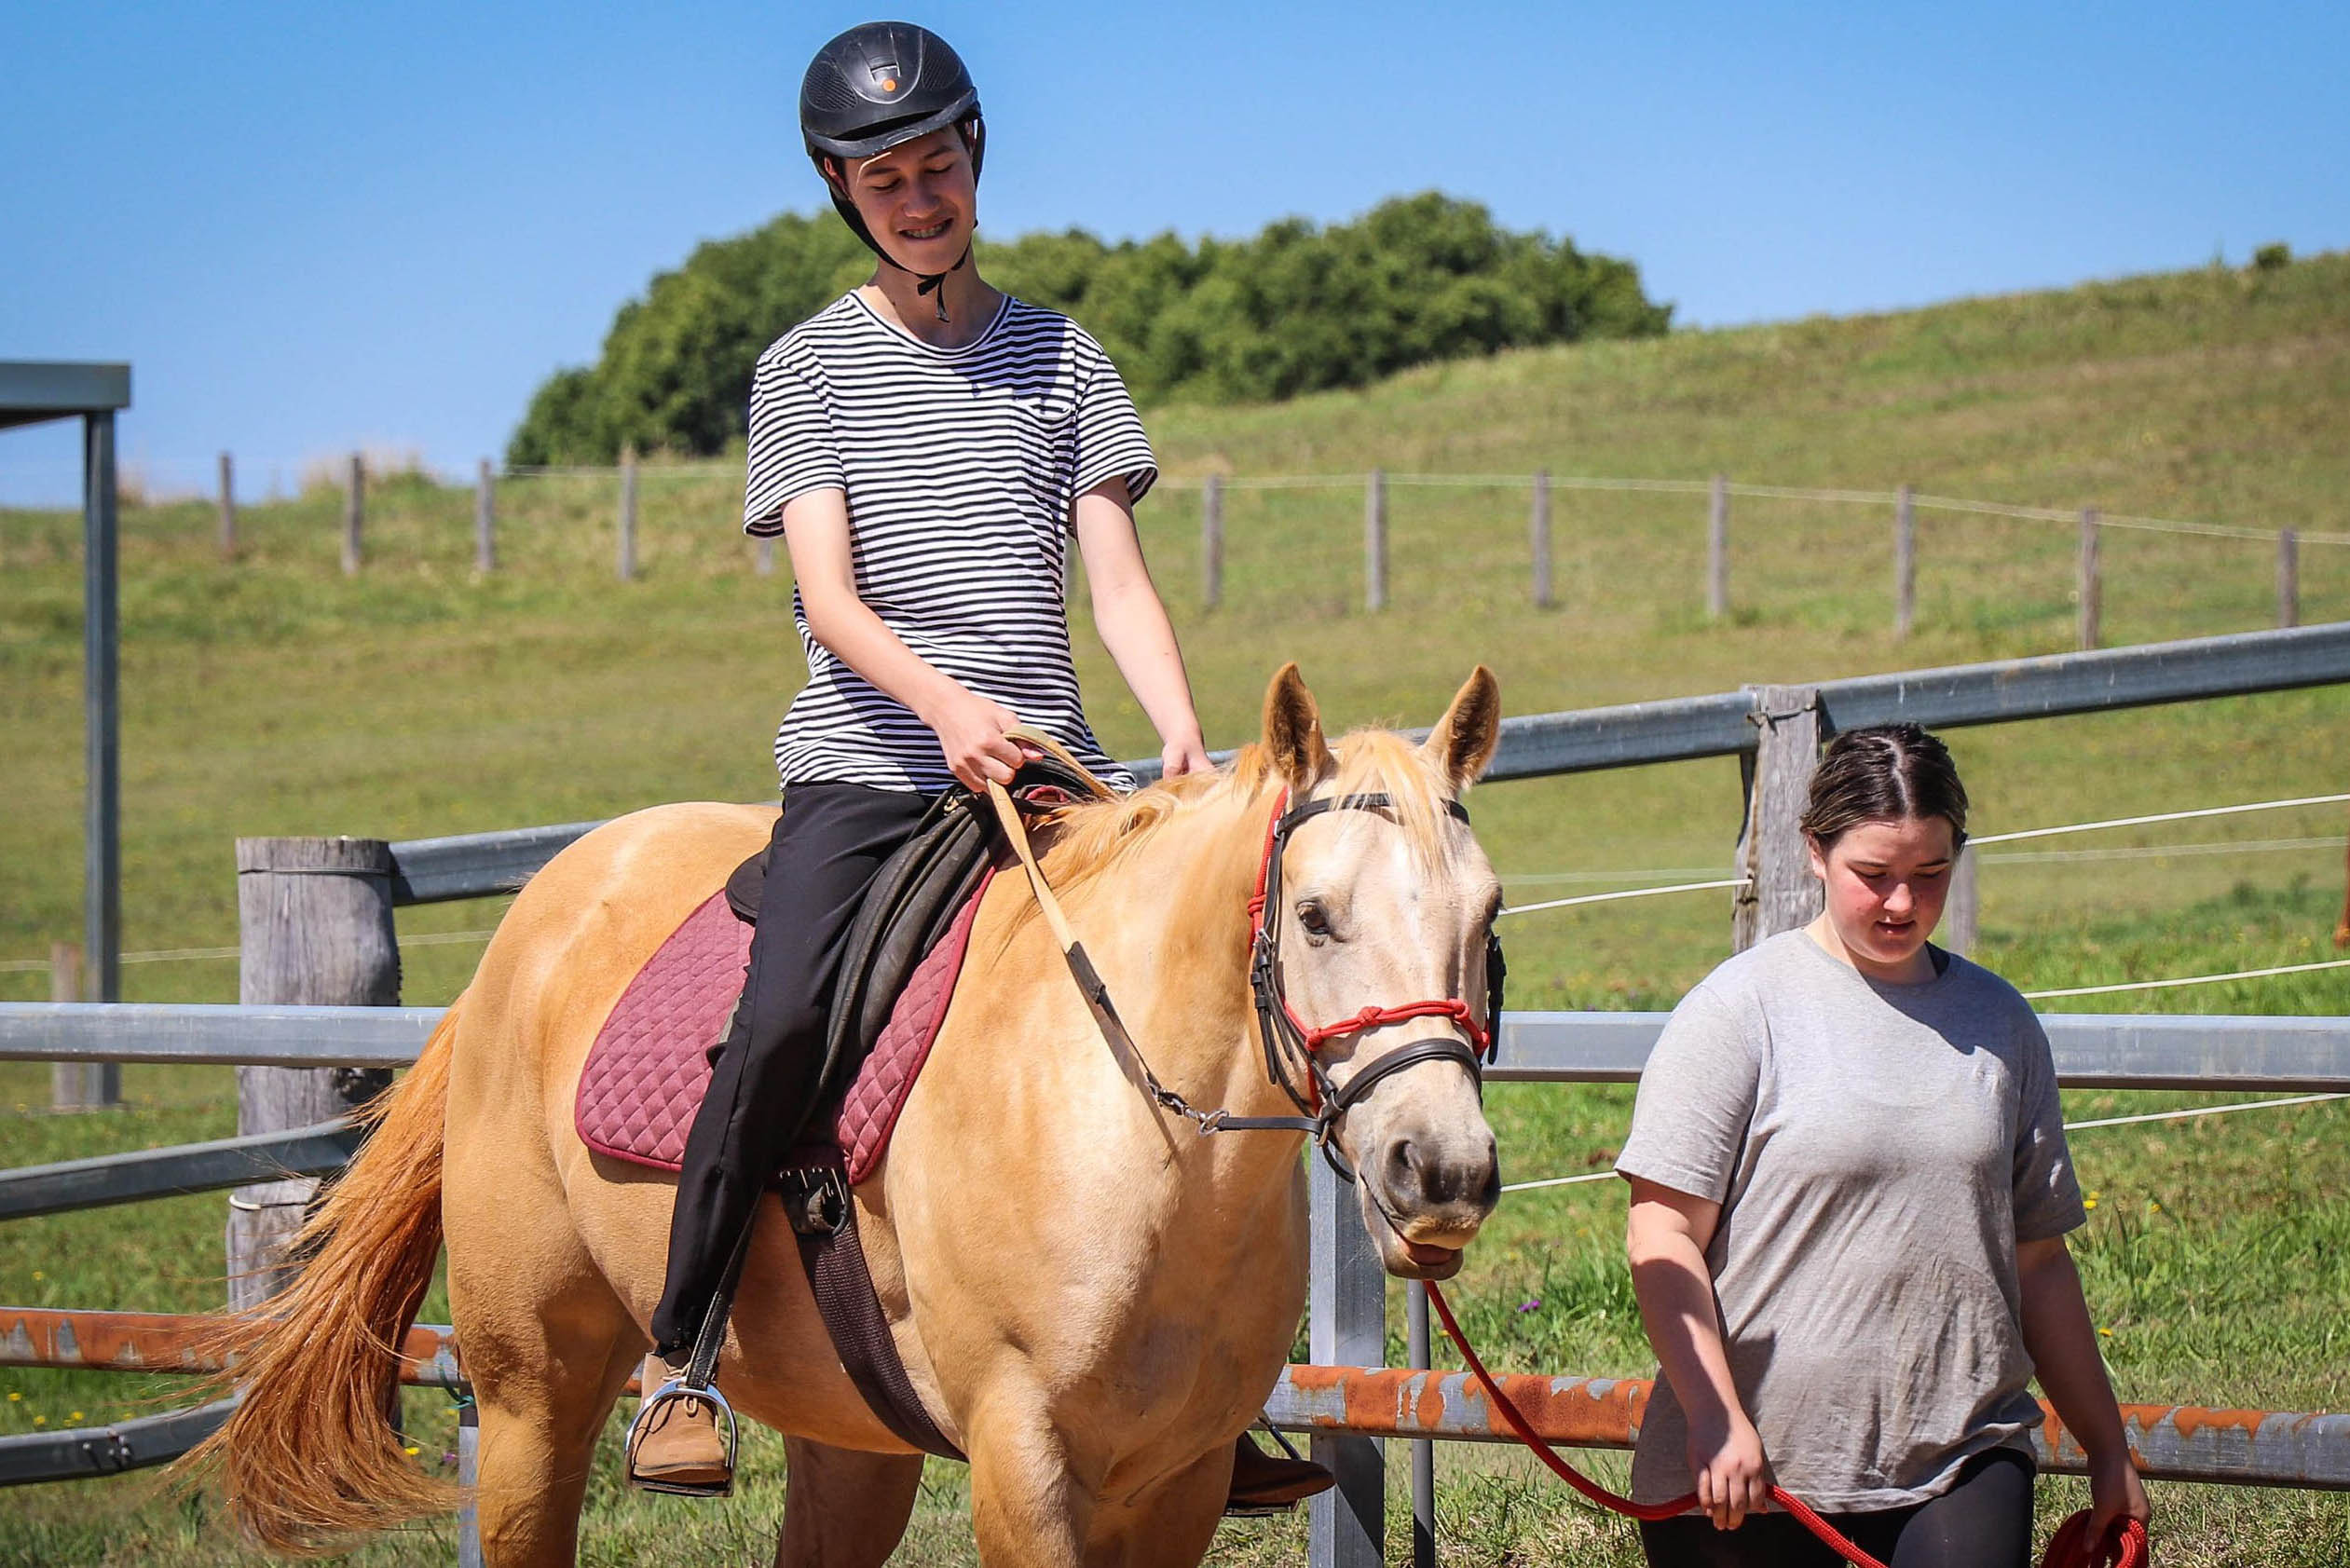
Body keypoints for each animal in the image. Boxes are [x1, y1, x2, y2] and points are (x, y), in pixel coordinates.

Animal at [192, 667, 1494, 1568]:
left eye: (1483, 915)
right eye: (1314, 915)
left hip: (847, 1438)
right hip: (529, 1396)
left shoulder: (1174, 1482)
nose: (1442, 1171)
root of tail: (532, 920)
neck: (1138, 1141)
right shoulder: (1023, 1464)